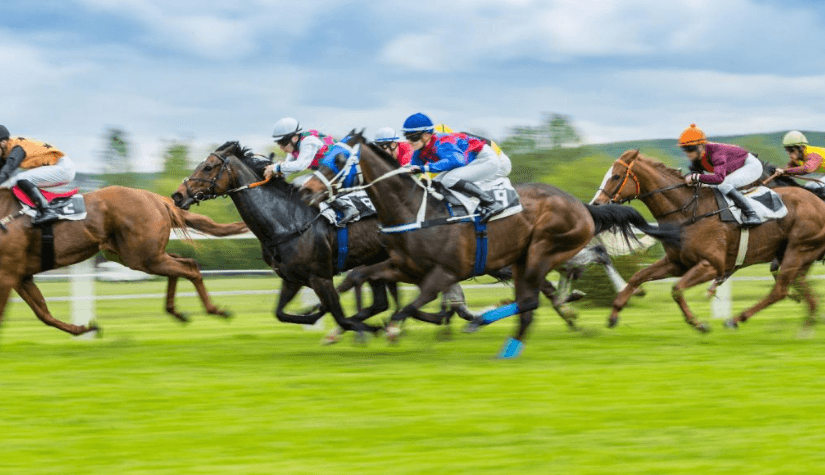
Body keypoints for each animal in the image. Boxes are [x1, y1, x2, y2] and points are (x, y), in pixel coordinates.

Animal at [0, 185, 249, 337]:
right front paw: (85, 328)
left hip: (142, 256)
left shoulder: (8, 274)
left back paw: (214, 310)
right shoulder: (20, 276)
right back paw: (176, 311)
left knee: (189, 267)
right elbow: (43, 313)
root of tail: (157, 198)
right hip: (138, 255)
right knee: (181, 263)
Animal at [301, 132, 682, 357]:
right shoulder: (403, 267)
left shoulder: (444, 272)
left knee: (544, 291)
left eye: (337, 160)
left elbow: (411, 306)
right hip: (523, 258)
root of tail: (581, 205)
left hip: (541, 251)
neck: (416, 209)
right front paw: (335, 324)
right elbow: (358, 278)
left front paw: (391, 329)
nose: (306, 190)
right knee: (536, 296)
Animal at [591, 150, 825, 331]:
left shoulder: (712, 265)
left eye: (616, 176)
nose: (596, 204)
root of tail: (818, 202)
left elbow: (676, 289)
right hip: (794, 255)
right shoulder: (677, 263)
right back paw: (806, 325)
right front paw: (614, 313)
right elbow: (638, 277)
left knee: (780, 291)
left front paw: (698, 323)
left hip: (798, 249)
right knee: (801, 290)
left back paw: (735, 320)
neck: (688, 211)